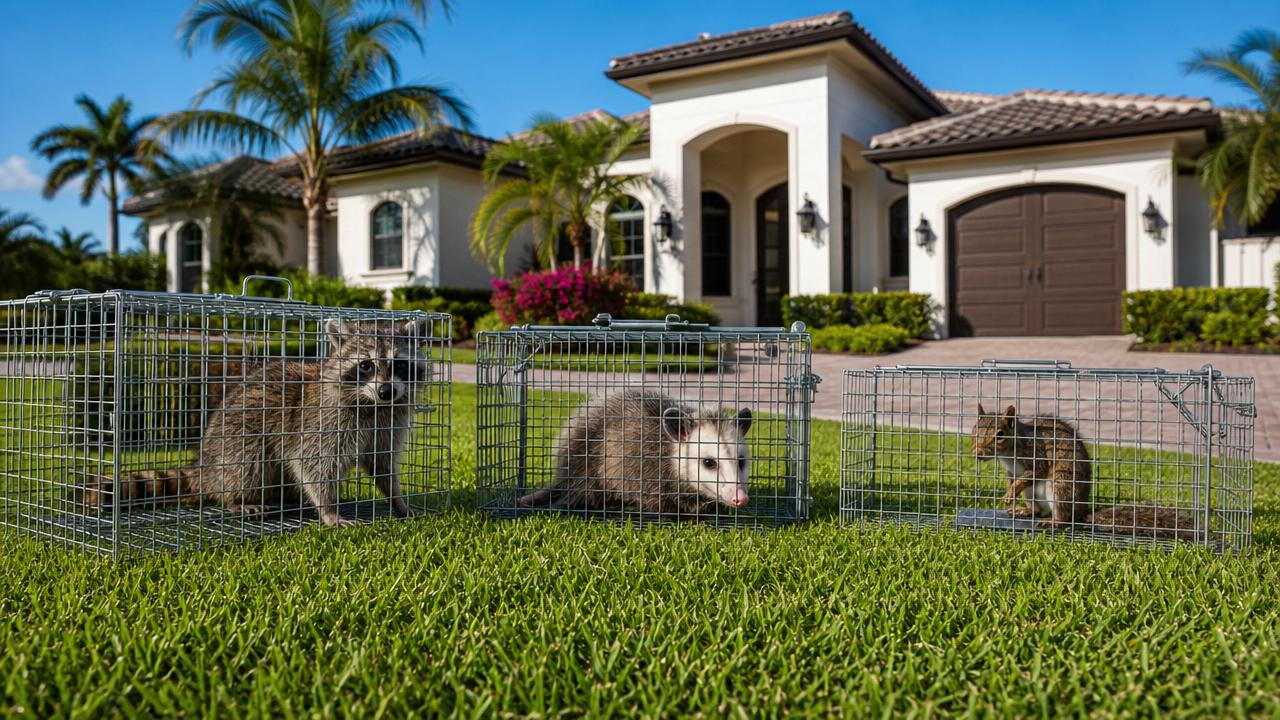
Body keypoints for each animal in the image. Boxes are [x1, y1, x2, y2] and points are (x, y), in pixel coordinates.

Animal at [515, 389, 753, 517]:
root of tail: (562, 475)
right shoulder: (643, 471)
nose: (741, 498)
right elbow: (657, 502)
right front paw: (692, 510)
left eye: (741, 461)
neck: (669, 451)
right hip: (586, 469)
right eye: (708, 462)